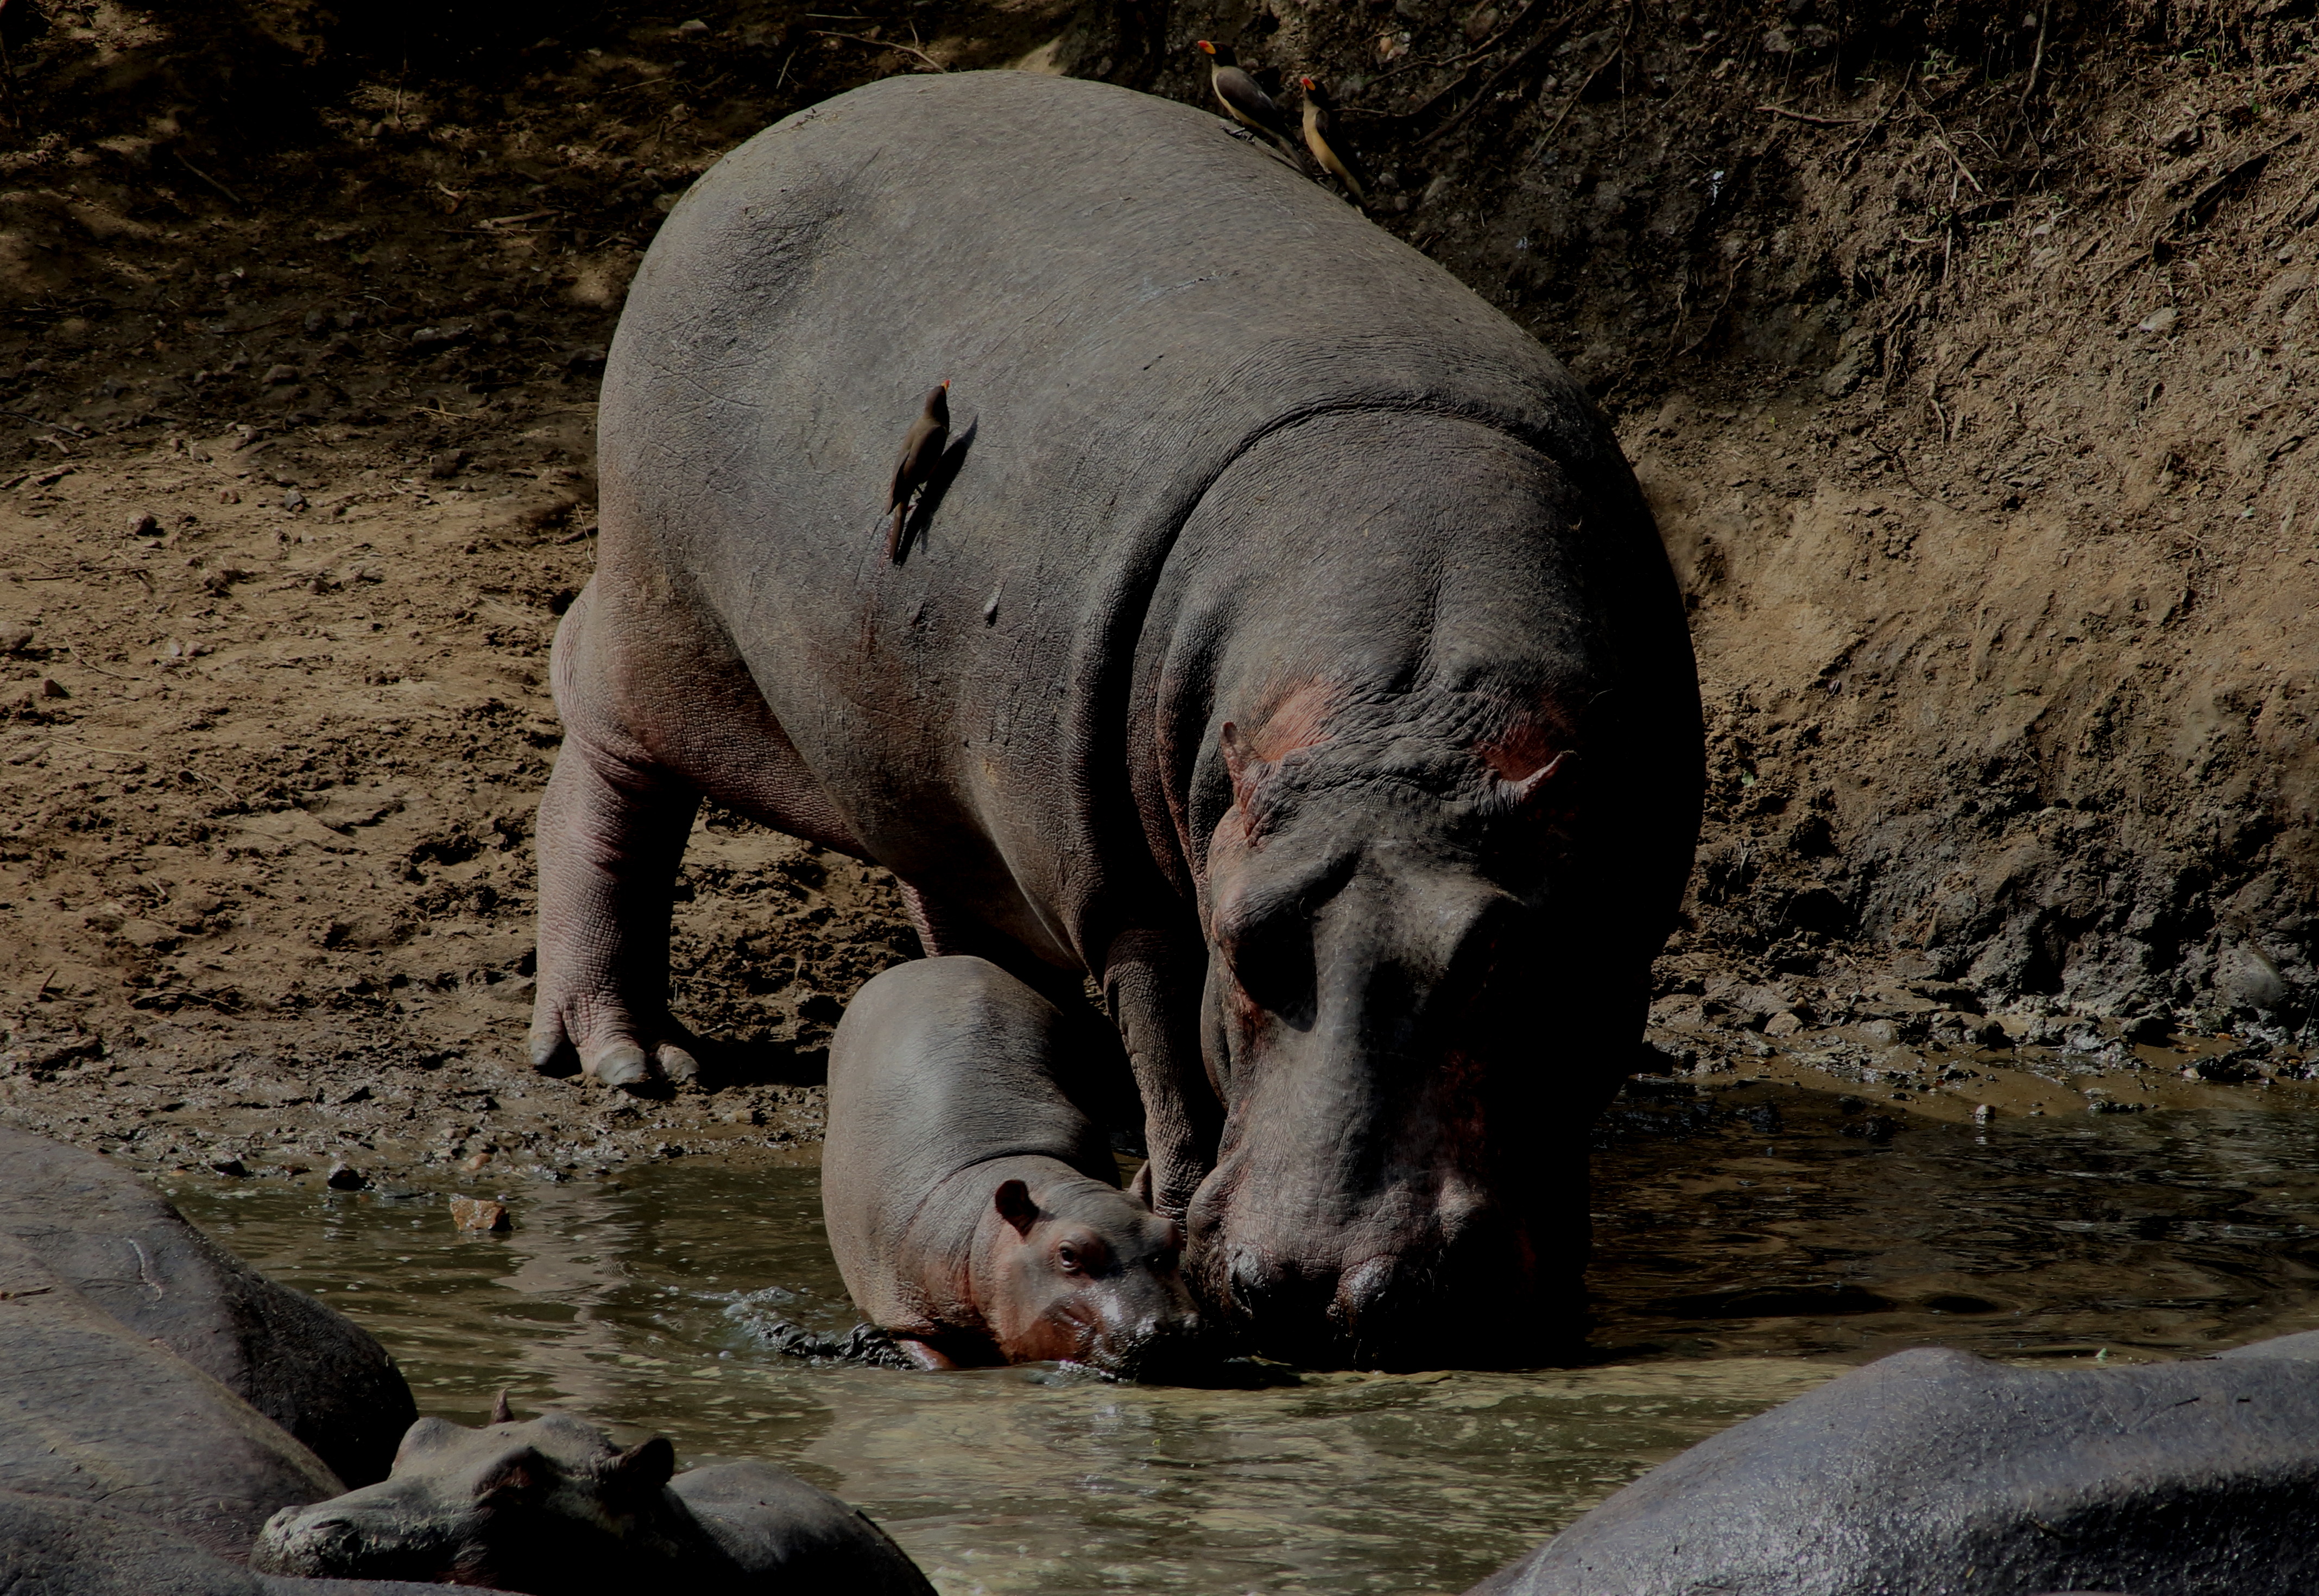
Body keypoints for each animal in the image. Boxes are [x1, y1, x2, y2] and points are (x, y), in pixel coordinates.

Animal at [820, 955, 1215, 1373]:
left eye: (1171, 1237)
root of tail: (934, 963)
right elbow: (935, 1361)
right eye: (1068, 1255)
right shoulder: (906, 1315)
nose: (1173, 1329)